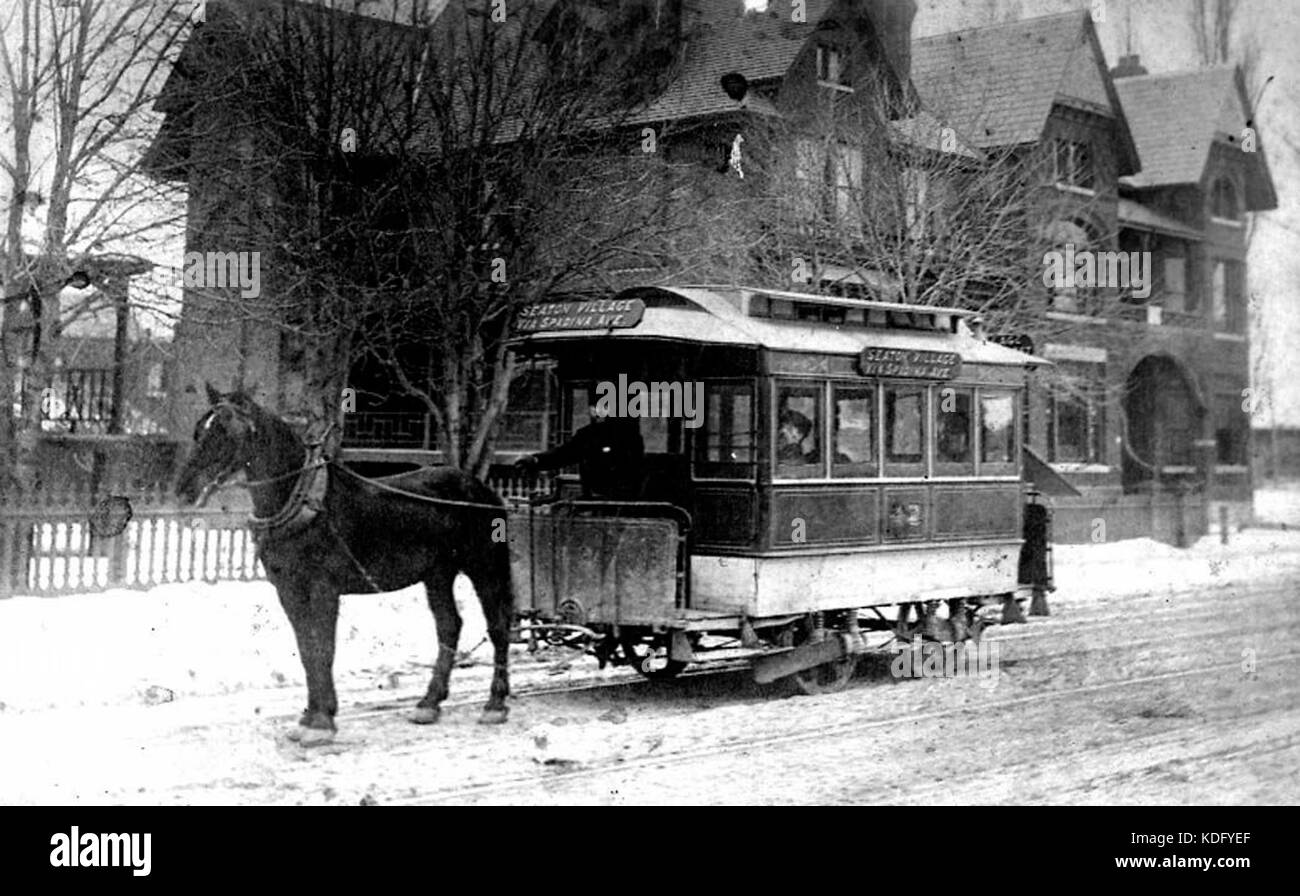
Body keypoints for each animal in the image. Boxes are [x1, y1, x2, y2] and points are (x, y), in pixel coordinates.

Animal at [178, 384, 512, 738]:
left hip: (484, 567)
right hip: (437, 575)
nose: (184, 488)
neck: (302, 500)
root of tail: (484, 490)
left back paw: (495, 704)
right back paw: (429, 703)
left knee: (498, 626)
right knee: (449, 626)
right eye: (200, 429)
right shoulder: (289, 591)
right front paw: (311, 716)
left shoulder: (323, 589)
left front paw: (322, 721)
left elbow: (323, 649)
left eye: (227, 430)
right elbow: (307, 650)